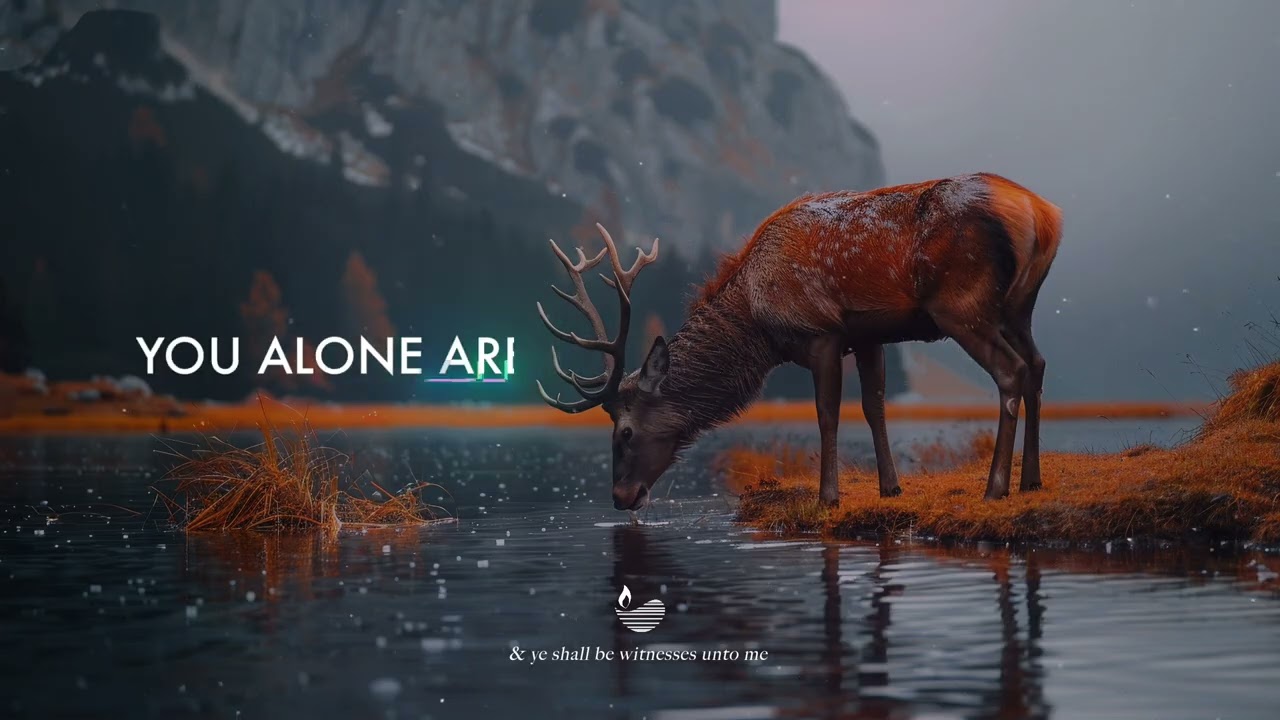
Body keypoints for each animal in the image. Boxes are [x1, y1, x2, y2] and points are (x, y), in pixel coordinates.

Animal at [536, 173, 1062, 511]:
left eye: (624, 432)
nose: (621, 498)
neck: (758, 321)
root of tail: (1043, 214)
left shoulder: (822, 334)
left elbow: (827, 414)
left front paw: (828, 497)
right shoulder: (869, 334)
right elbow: (874, 406)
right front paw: (889, 488)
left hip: (962, 305)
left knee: (1012, 371)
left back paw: (996, 488)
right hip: (1020, 306)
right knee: (1037, 365)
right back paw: (1033, 480)